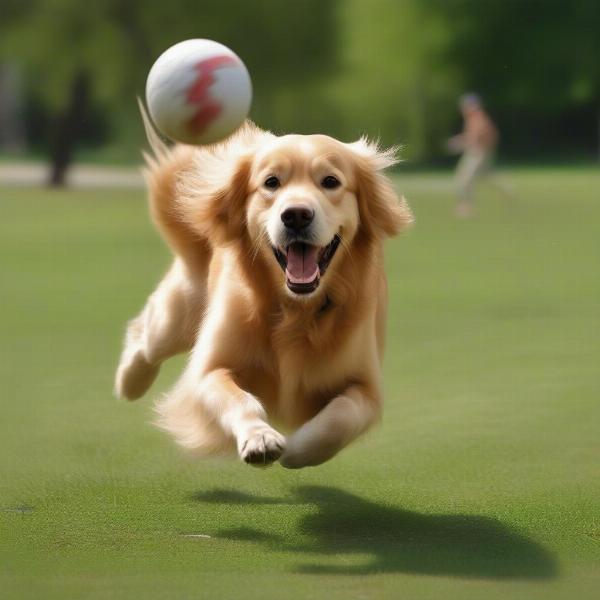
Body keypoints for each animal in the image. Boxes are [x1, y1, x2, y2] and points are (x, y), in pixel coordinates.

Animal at [113, 110, 412, 472]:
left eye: (330, 181)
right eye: (271, 182)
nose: (296, 215)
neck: (295, 310)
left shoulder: (367, 388)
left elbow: (341, 416)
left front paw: (299, 449)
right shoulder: (209, 370)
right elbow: (238, 399)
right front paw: (260, 438)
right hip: (178, 316)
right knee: (144, 337)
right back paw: (129, 381)